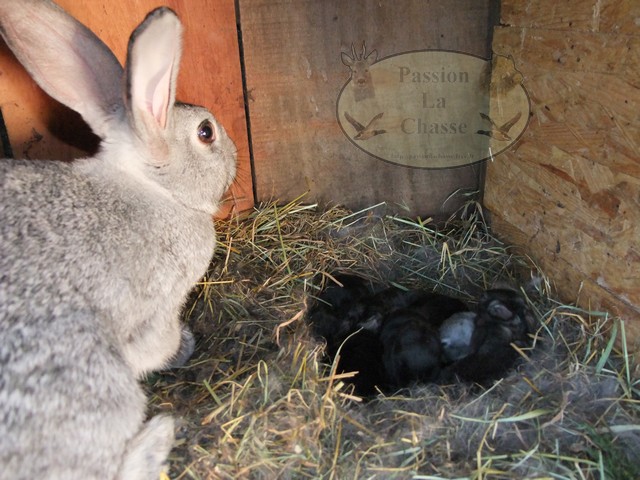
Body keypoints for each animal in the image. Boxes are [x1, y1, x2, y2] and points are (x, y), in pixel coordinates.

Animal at [0, 1, 238, 478]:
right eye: (206, 133)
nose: (237, 154)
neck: (154, 189)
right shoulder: (159, 306)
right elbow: (157, 343)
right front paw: (181, 347)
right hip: (94, 382)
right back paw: (158, 437)